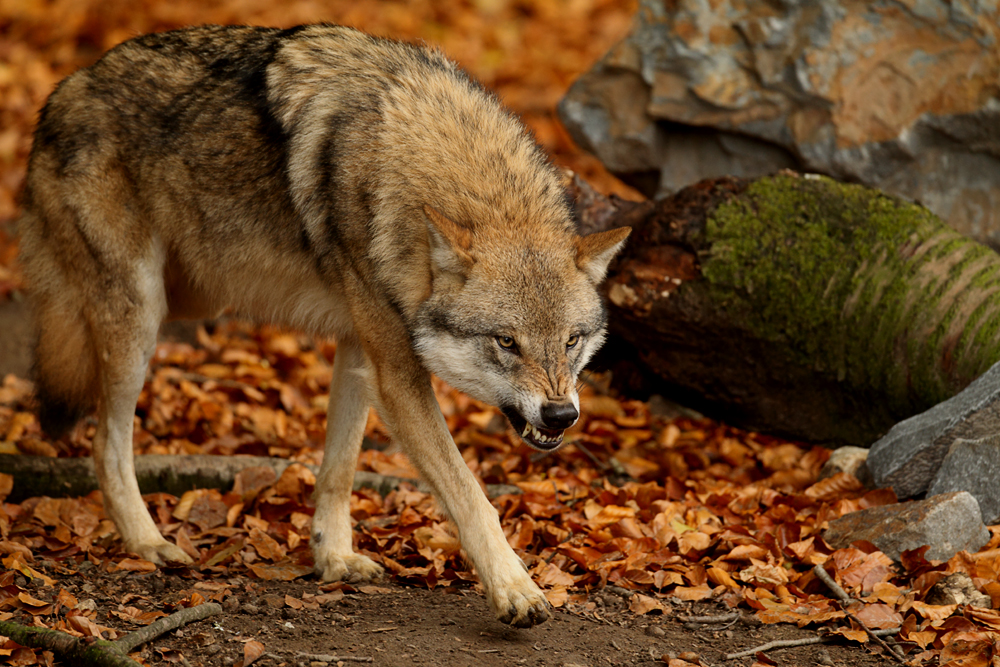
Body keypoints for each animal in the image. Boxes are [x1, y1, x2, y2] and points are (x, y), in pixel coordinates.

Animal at [19, 24, 628, 628]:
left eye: (571, 341)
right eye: (506, 342)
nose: (561, 415)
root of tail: (63, 90)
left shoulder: (362, 350)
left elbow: (340, 467)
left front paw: (332, 558)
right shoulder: (396, 373)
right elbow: (469, 490)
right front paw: (515, 589)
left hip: (187, 300)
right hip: (140, 319)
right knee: (105, 443)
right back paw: (147, 543)